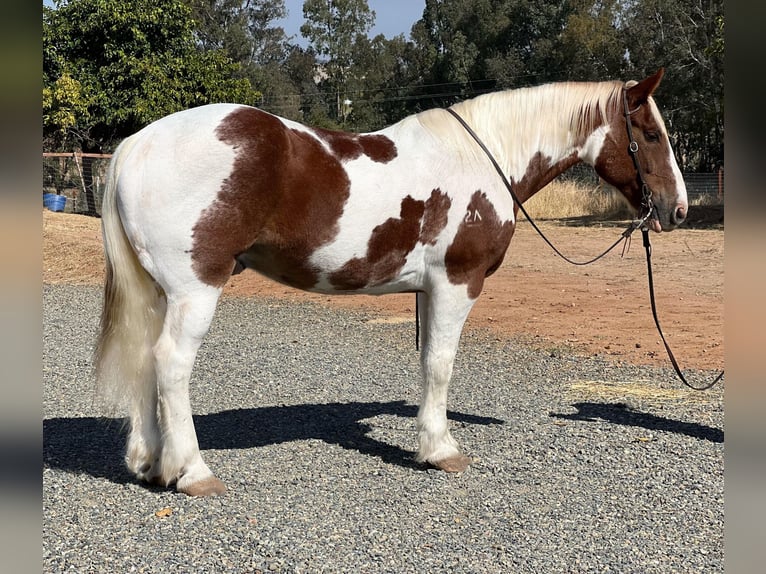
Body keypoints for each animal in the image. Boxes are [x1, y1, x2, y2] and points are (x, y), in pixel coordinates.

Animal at [96, 70, 688, 498]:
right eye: (650, 134)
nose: (677, 210)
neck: (482, 156)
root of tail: (138, 143)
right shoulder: (456, 283)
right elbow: (441, 365)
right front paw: (440, 450)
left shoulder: (428, 291)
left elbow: (426, 362)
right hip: (195, 289)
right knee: (172, 364)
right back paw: (193, 473)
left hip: (160, 293)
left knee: (146, 359)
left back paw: (150, 463)